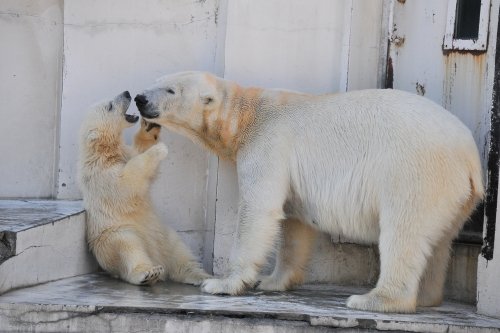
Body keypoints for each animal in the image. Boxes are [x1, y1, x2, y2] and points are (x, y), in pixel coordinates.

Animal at [135, 71, 482, 312]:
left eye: (170, 89)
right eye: (157, 80)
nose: (139, 98)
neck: (247, 114)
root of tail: (470, 157)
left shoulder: (269, 142)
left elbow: (260, 209)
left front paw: (222, 283)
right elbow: (293, 224)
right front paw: (272, 281)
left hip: (415, 172)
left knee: (403, 232)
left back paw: (375, 300)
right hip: (453, 195)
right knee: (438, 240)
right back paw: (426, 296)